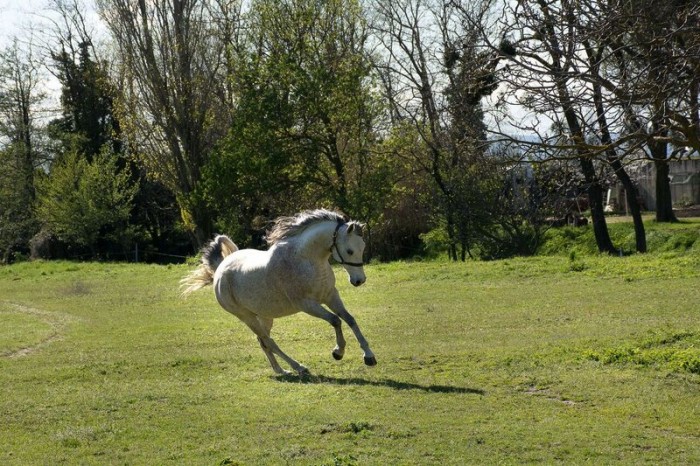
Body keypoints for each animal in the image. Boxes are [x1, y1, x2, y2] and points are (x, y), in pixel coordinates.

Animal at [180, 209, 378, 376]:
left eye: (362, 248)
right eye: (349, 251)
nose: (359, 281)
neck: (306, 259)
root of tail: (220, 268)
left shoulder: (330, 296)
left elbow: (350, 319)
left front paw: (369, 356)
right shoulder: (307, 304)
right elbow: (336, 320)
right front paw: (338, 352)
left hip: (265, 316)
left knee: (263, 341)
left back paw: (280, 370)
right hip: (246, 317)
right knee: (268, 341)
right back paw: (298, 367)